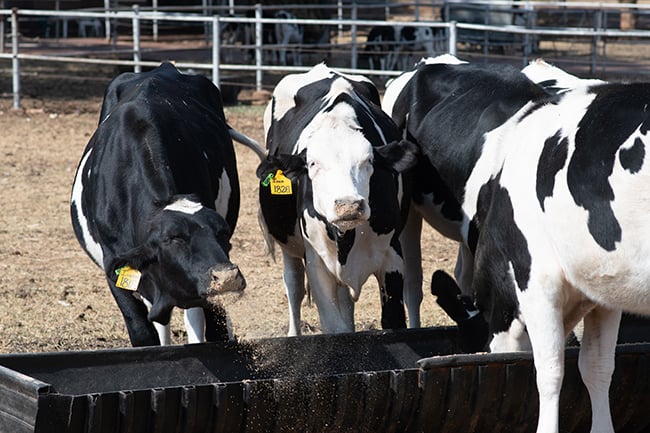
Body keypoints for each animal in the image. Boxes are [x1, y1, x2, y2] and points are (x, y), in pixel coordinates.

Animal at [256, 63, 416, 334]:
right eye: (312, 163)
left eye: (369, 161)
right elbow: (335, 328)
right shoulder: (318, 265)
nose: (348, 206)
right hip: (289, 247)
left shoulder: (392, 258)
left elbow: (392, 321)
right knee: (294, 287)